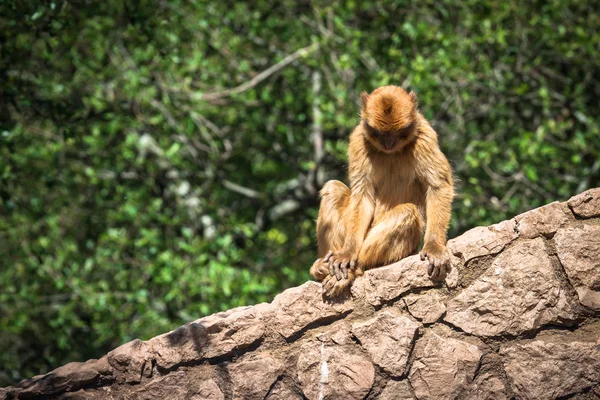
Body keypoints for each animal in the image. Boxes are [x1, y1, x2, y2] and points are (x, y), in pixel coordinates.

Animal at [312, 85, 452, 296]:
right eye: (380, 133)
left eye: (397, 132)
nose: (388, 144)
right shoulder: (358, 140)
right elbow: (362, 195)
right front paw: (347, 253)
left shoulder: (425, 135)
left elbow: (438, 185)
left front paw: (434, 246)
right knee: (333, 188)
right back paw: (326, 265)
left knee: (407, 211)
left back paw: (355, 268)